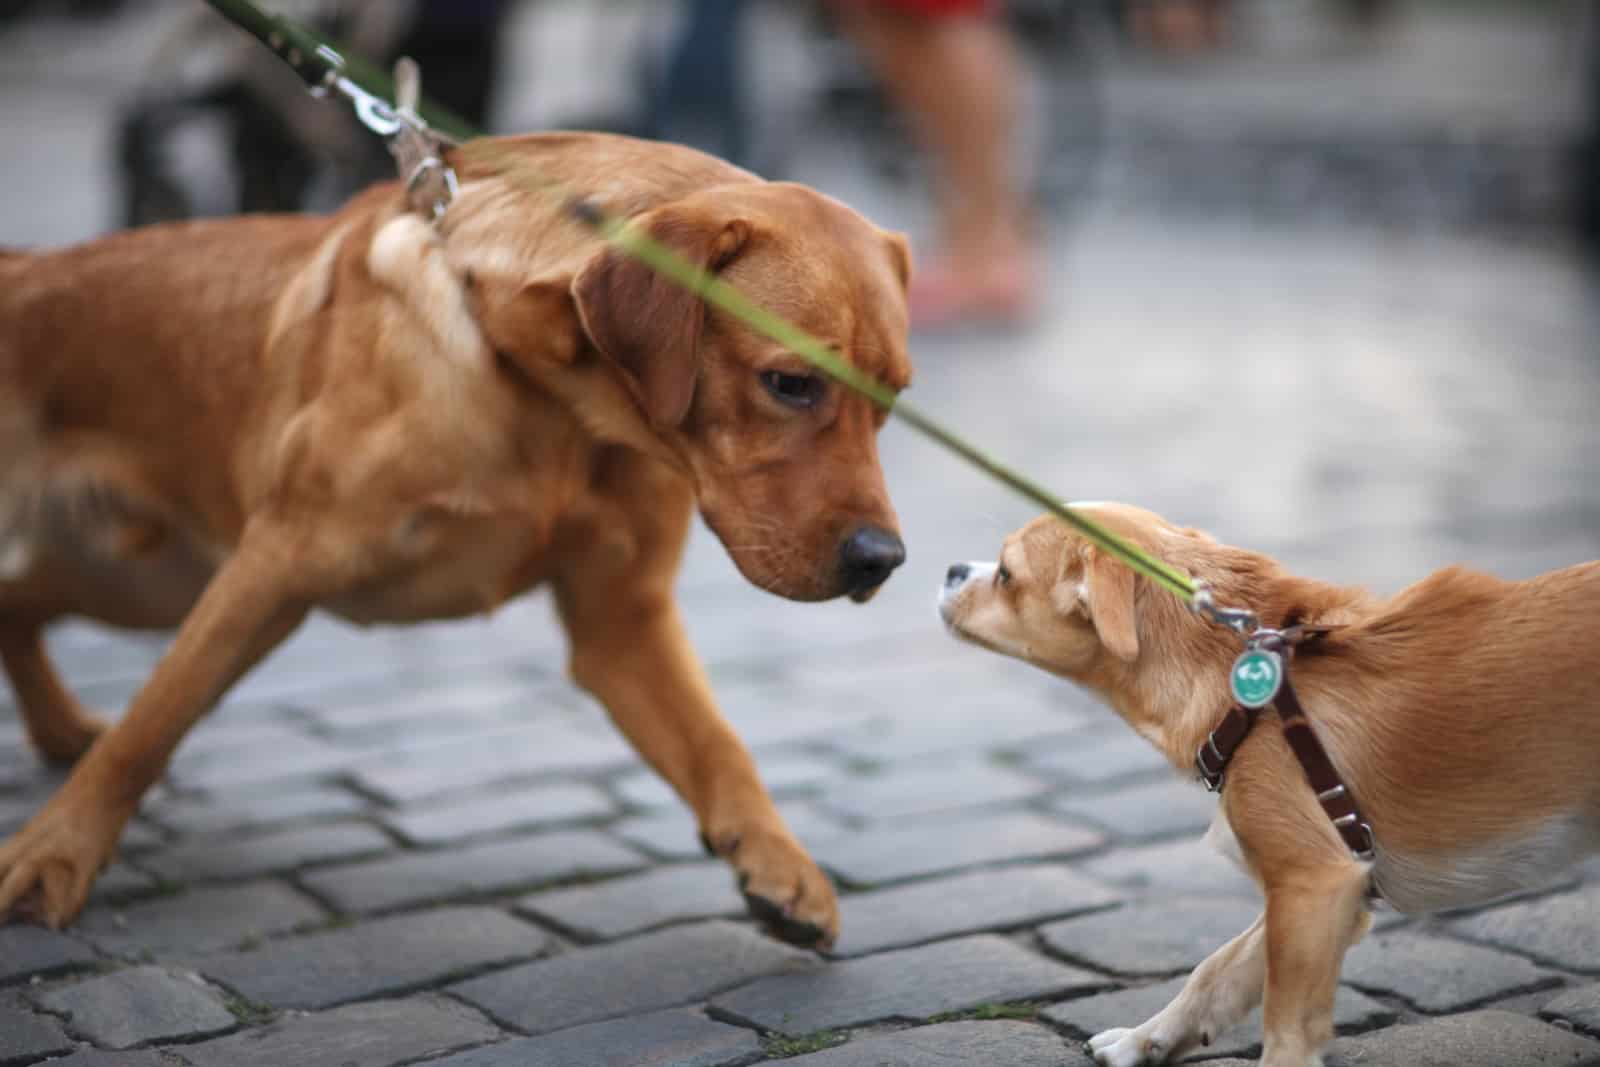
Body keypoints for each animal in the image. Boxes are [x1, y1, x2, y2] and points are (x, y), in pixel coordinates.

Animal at [0, 131, 915, 940]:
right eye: (790, 383)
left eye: (893, 400)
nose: (885, 560)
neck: (559, 407)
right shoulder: (275, 564)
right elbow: (150, 724)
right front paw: (51, 857)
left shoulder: (622, 619)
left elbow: (720, 745)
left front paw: (779, 862)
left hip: (147, 578)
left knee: (20, 603)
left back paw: (57, 727)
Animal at [934, 502, 1600, 1067]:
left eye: (1006, 575)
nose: (948, 568)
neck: (1242, 691)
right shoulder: (1330, 893)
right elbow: (1217, 970)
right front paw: (1146, 1040)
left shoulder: (1312, 885)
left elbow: (1285, 1023)